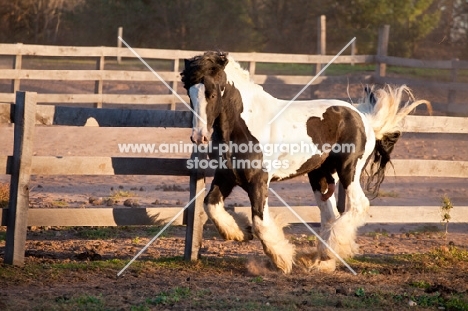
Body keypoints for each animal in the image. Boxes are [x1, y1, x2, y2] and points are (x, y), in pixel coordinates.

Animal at [182, 51, 432, 272]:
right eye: (189, 92)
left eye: (212, 93)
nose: (199, 136)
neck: (245, 125)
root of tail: (363, 117)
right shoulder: (226, 176)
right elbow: (211, 205)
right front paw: (241, 232)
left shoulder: (258, 181)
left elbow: (261, 223)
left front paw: (282, 261)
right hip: (320, 175)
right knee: (330, 215)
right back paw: (323, 262)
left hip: (348, 169)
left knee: (358, 205)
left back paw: (330, 253)